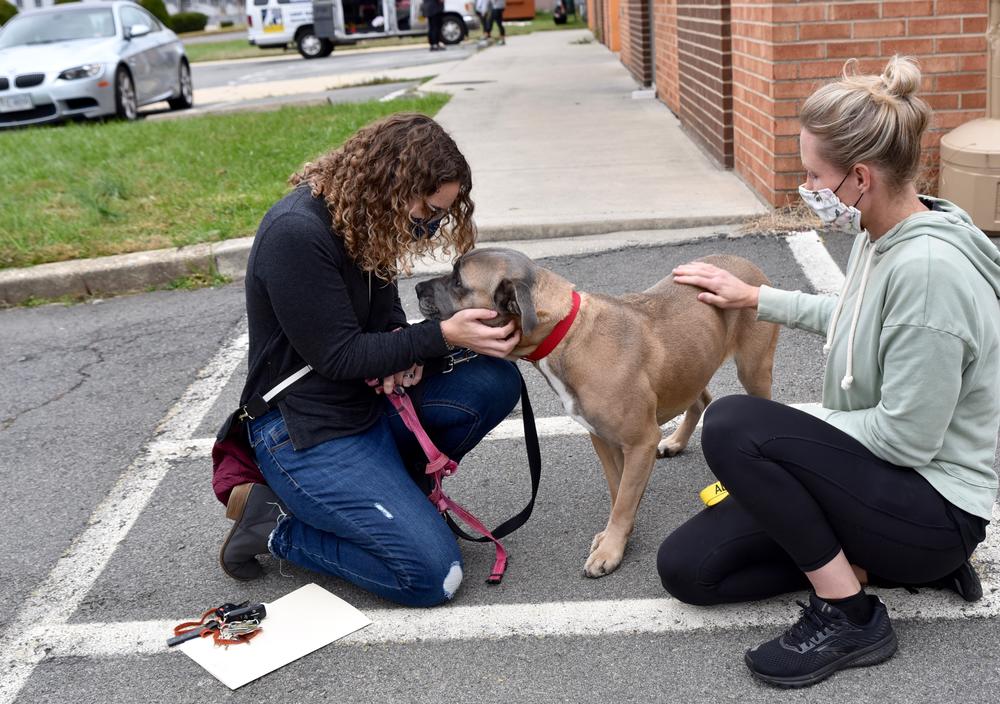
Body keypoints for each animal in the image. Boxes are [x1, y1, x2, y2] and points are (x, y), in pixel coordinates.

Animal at [414, 249, 780, 576]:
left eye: (458, 281)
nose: (416, 288)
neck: (566, 332)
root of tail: (745, 262)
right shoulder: (604, 440)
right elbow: (619, 492)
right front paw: (615, 537)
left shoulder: (639, 442)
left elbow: (624, 500)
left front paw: (611, 550)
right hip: (690, 366)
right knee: (701, 399)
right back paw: (676, 441)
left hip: (752, 369)